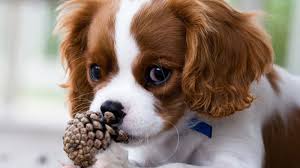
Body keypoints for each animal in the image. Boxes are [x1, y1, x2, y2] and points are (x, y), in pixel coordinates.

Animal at [56, 0, 300, 167]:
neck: (183, 131)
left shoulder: (236, 157)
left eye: (158, 73)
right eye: (95, 71)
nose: (110, 109)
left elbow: (177, 166)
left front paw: (113, 161)